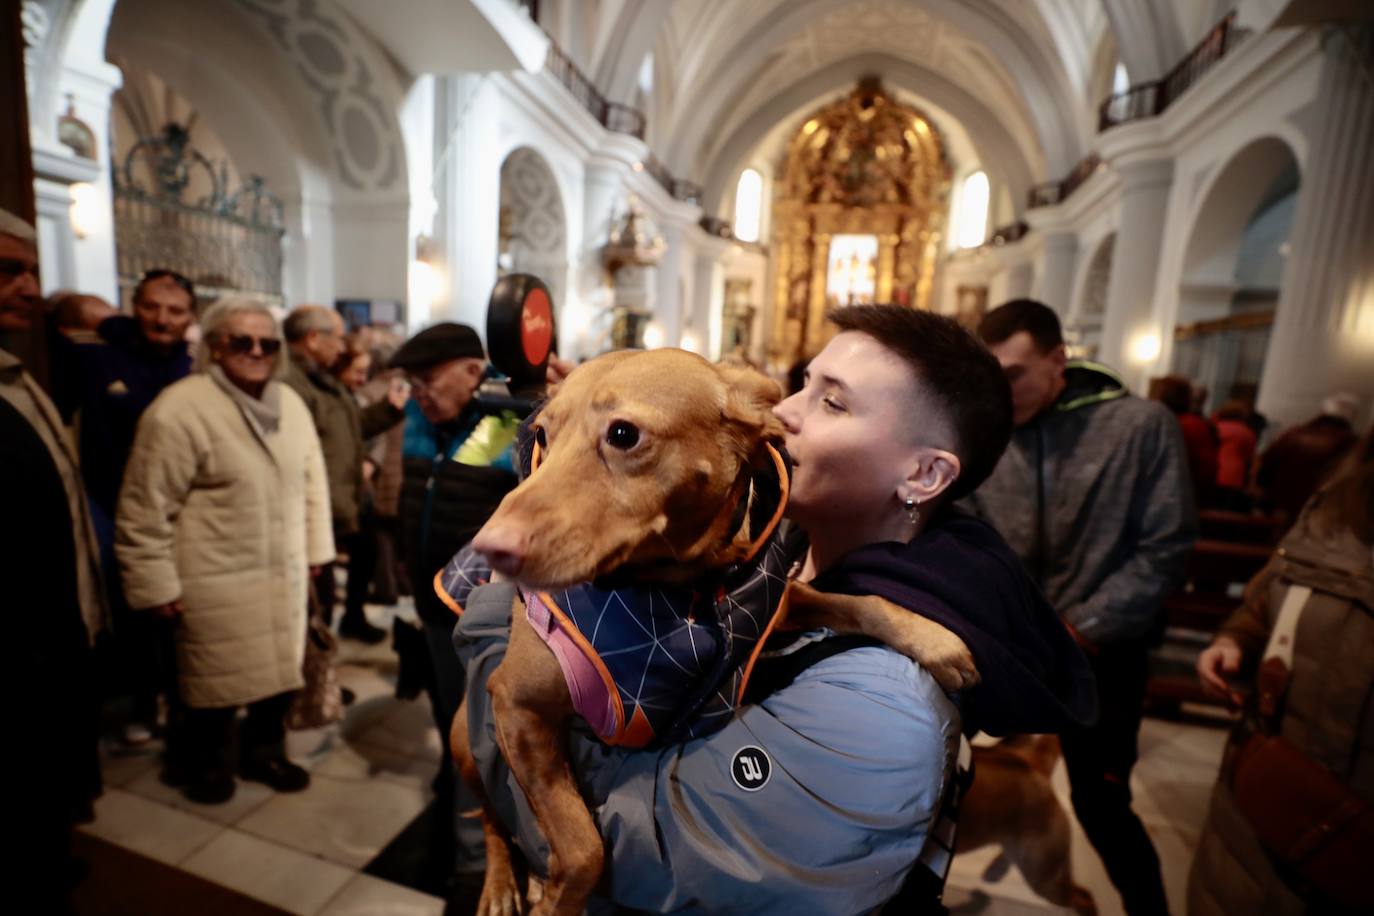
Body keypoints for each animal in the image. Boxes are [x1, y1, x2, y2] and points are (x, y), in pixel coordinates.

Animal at [456, 351, 983, 916]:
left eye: (622, 433)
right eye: (543, 435)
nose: (489, 546)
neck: (678, 591)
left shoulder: (780, 601)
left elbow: (856, 601)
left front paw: (935, 639)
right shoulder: (514, 701)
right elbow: (582, 848)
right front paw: (556, 900)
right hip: (465, 739)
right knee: (491, 816)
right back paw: (502, 884)